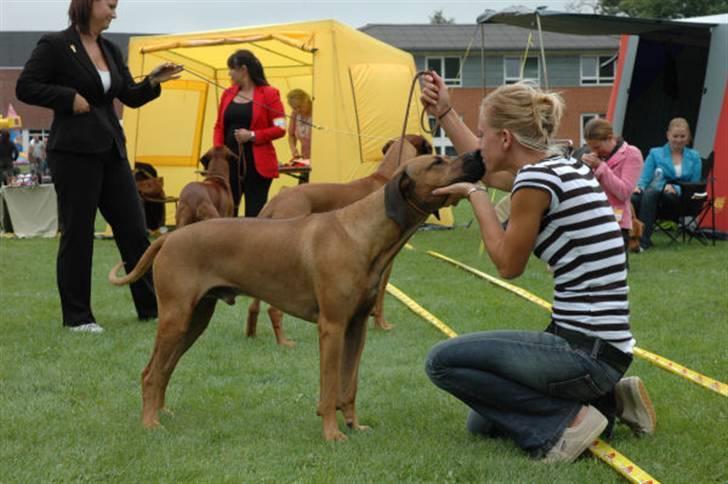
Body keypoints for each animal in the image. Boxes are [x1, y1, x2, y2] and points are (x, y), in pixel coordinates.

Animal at [249, 133, 432, 344]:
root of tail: (277, 199)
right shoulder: (385, 265)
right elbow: (380, 299)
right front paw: (382, 325)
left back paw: (252, 333)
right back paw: (283, 341)